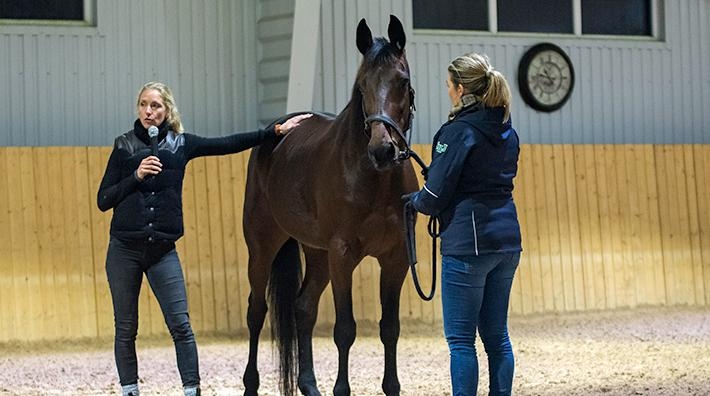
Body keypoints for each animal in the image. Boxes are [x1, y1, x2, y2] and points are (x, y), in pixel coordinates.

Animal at [245, 15, 420, 396]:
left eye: (402, 81)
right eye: (362, 86)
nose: (382, 150)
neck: (373, 178)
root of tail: (275, 134)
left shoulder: (396, 257)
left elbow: (390, 328)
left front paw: (392, 386)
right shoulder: (343, 255)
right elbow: (345, 329)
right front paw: (342, 388)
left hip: (317, 253)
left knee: (304, 308)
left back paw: (309, 386)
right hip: (263, 247)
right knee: (256, 312)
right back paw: (250, 384)